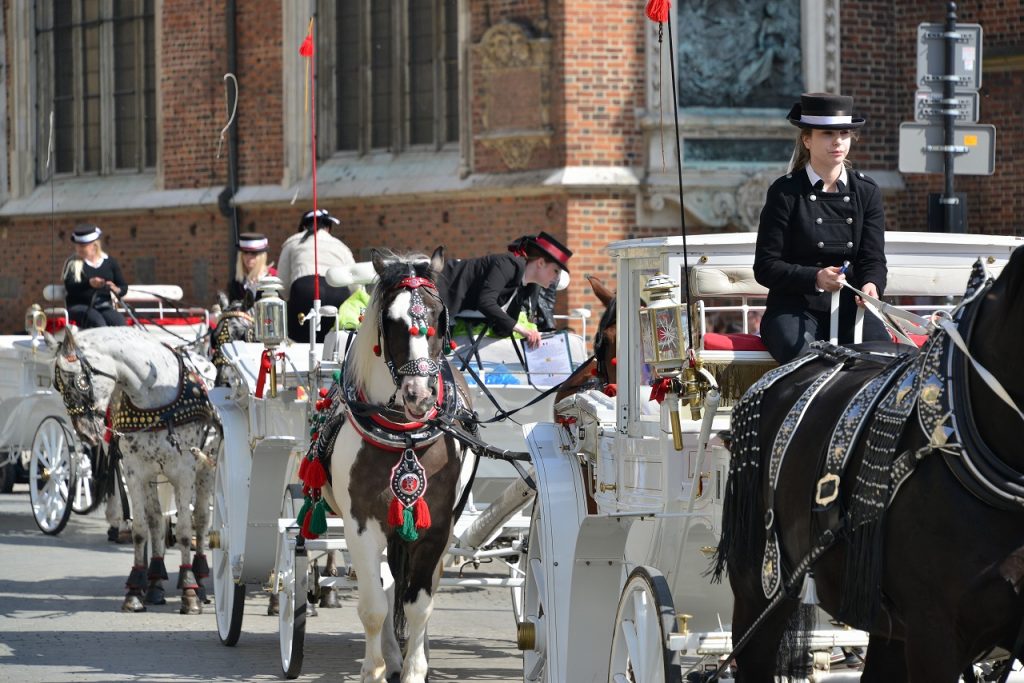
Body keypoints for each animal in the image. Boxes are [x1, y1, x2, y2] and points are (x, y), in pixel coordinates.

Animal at [51, 327, 220, 614]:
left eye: (79, 382)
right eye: (56, 386)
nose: (84, 433)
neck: (153, 398)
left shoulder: (184, 472)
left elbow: (184, 531)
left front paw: (188, 590)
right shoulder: (135, 471)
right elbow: (142, 529)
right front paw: (134, 591)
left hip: (205, 468)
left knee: (199, 520)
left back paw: (200, 582)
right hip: (155, 475)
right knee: (157, 521)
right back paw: (154, 583)